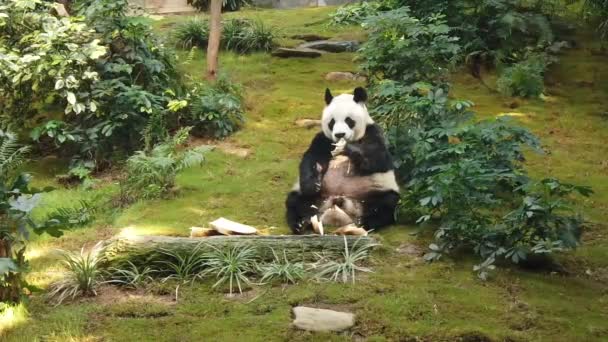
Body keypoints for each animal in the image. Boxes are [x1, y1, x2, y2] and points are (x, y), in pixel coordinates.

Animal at [288, 87, 402, 234]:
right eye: (332, 122)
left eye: (349, 120)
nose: (339, 134)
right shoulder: (324, 139)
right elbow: (311, 158)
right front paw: (313, 184)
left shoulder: (373, 133)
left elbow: (379, 159)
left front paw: (348, 149)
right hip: (314, 195)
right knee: (296, 202)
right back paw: (301, 223)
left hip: (375, 190)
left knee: (386, 204)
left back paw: (365, 222)